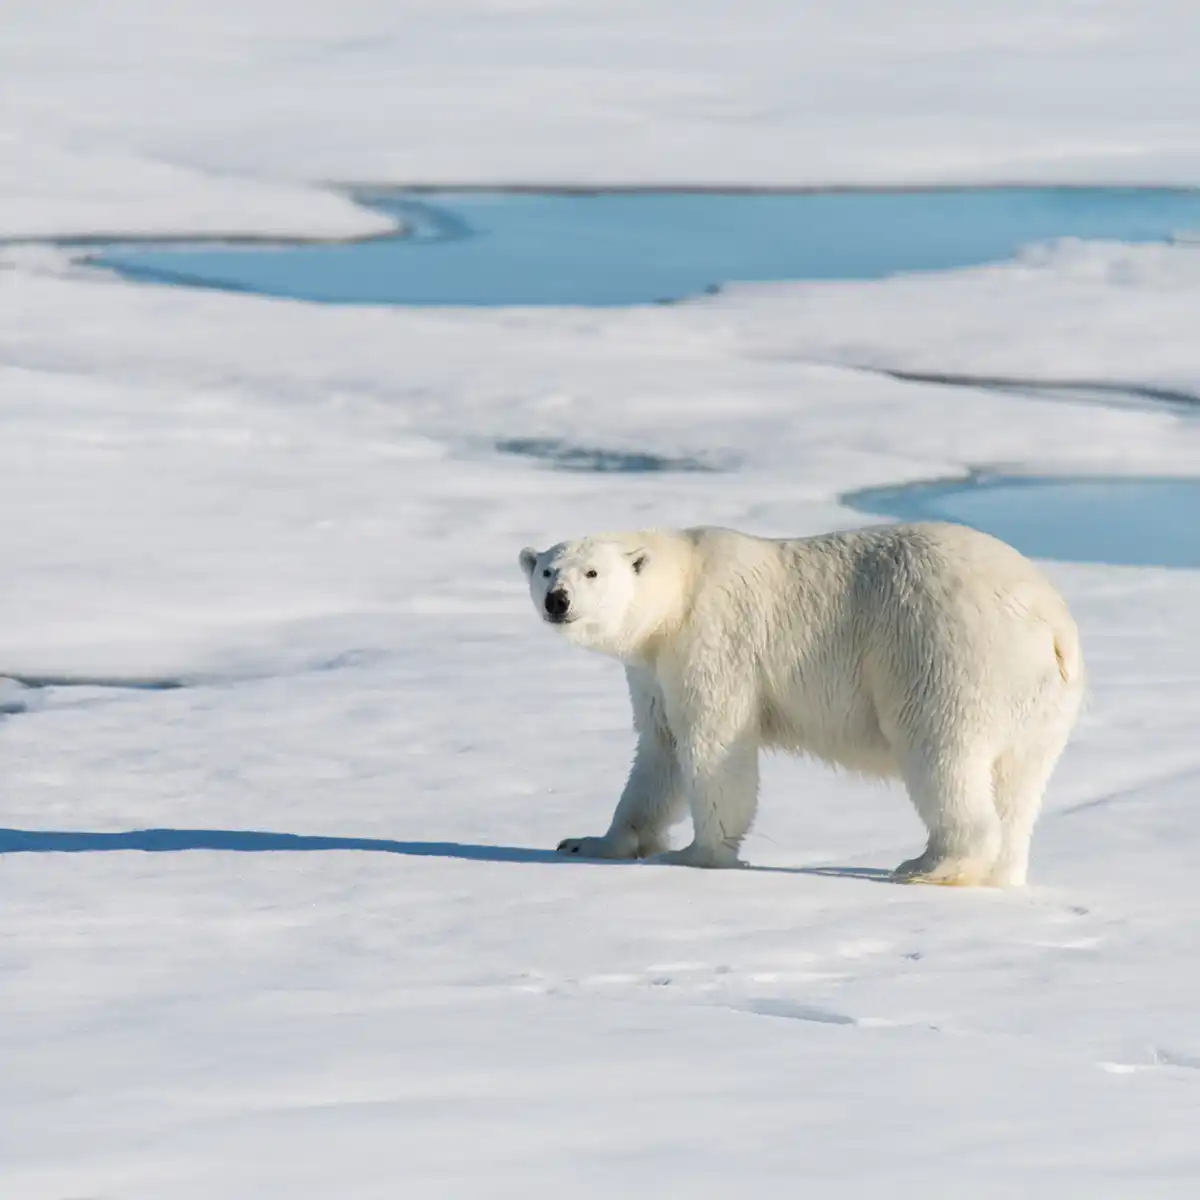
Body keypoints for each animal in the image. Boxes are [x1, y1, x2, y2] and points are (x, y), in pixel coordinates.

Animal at [519, 522, 1084, 887]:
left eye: (592, 573)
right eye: (547, 570)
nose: (558, 601)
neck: (680, 589)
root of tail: (1052, 623)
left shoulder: (713, 639)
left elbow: (713, 744)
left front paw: (694, 855)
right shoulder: (652, 669)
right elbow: (659, 752)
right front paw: (590, 842)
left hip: (947, 655)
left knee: (943, 755)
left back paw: (928, 866)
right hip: (1039, 703)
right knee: (1018, 784)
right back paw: (1001, 873)